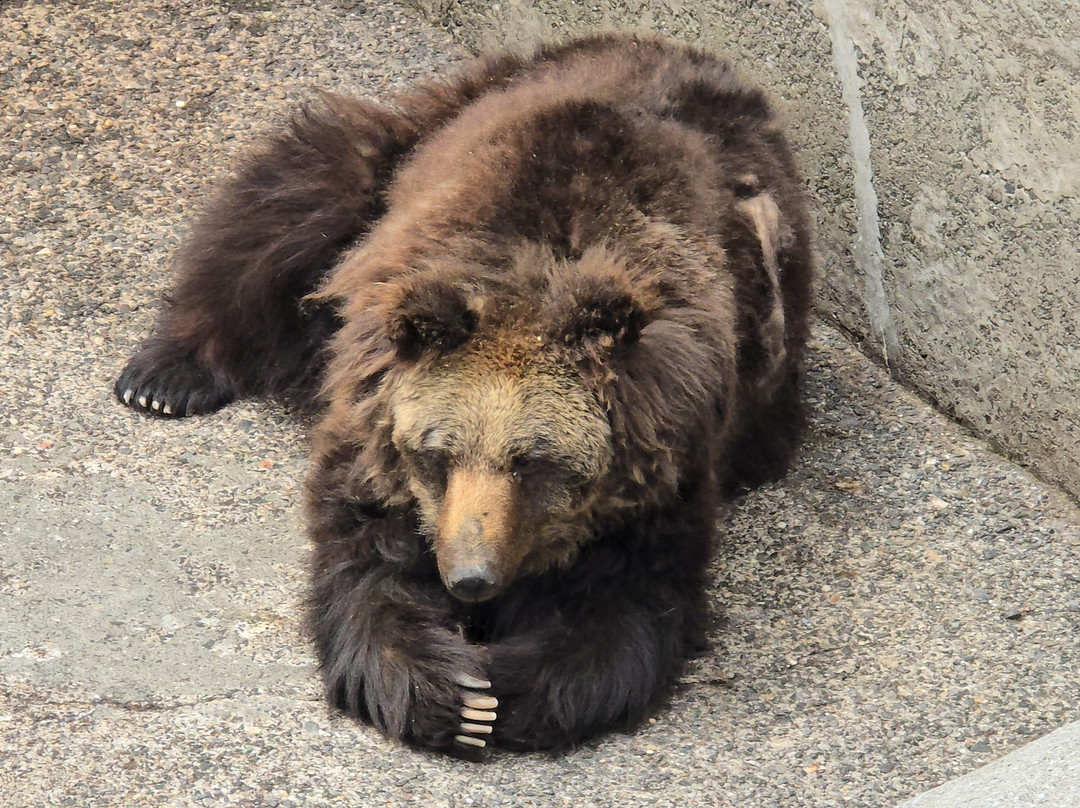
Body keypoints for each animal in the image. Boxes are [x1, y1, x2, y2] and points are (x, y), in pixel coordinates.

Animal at [115, 33, 813, 757]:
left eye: (534, 463)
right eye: (436, 454)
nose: (470, 578)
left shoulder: (662, 466)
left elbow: (624, 605)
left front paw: (507, 690)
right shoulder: (378, 430)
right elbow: (368, 562)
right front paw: (447, 692)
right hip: (404, 155)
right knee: (293, 203)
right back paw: (166, 375)